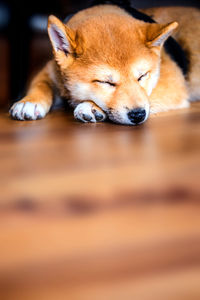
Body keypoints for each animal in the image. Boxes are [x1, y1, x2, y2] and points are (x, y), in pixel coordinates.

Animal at [9, 0, 200, 124]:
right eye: (105, 82)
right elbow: (40, 84)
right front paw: (29, 102)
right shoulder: (51, 70)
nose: (138, 115)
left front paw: (91, 106)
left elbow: (148, 96)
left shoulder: (174, 83)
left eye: (142, 76)